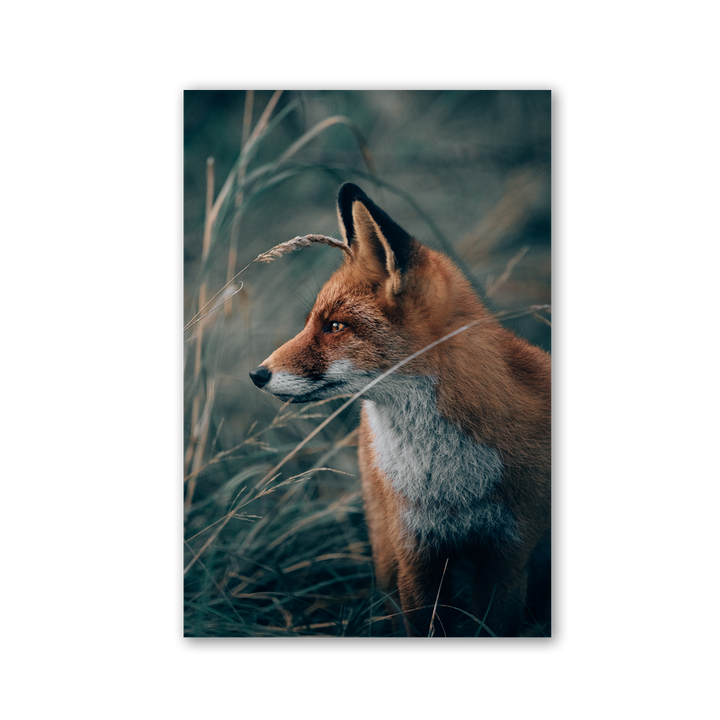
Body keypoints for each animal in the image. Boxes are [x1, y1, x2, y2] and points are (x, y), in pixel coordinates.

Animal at [249, 183, 551, 637]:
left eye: (335, 326)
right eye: (313, 323)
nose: (257, 374)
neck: (450, 484)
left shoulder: (508, 558)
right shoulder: (416, 555)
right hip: (386, 552)